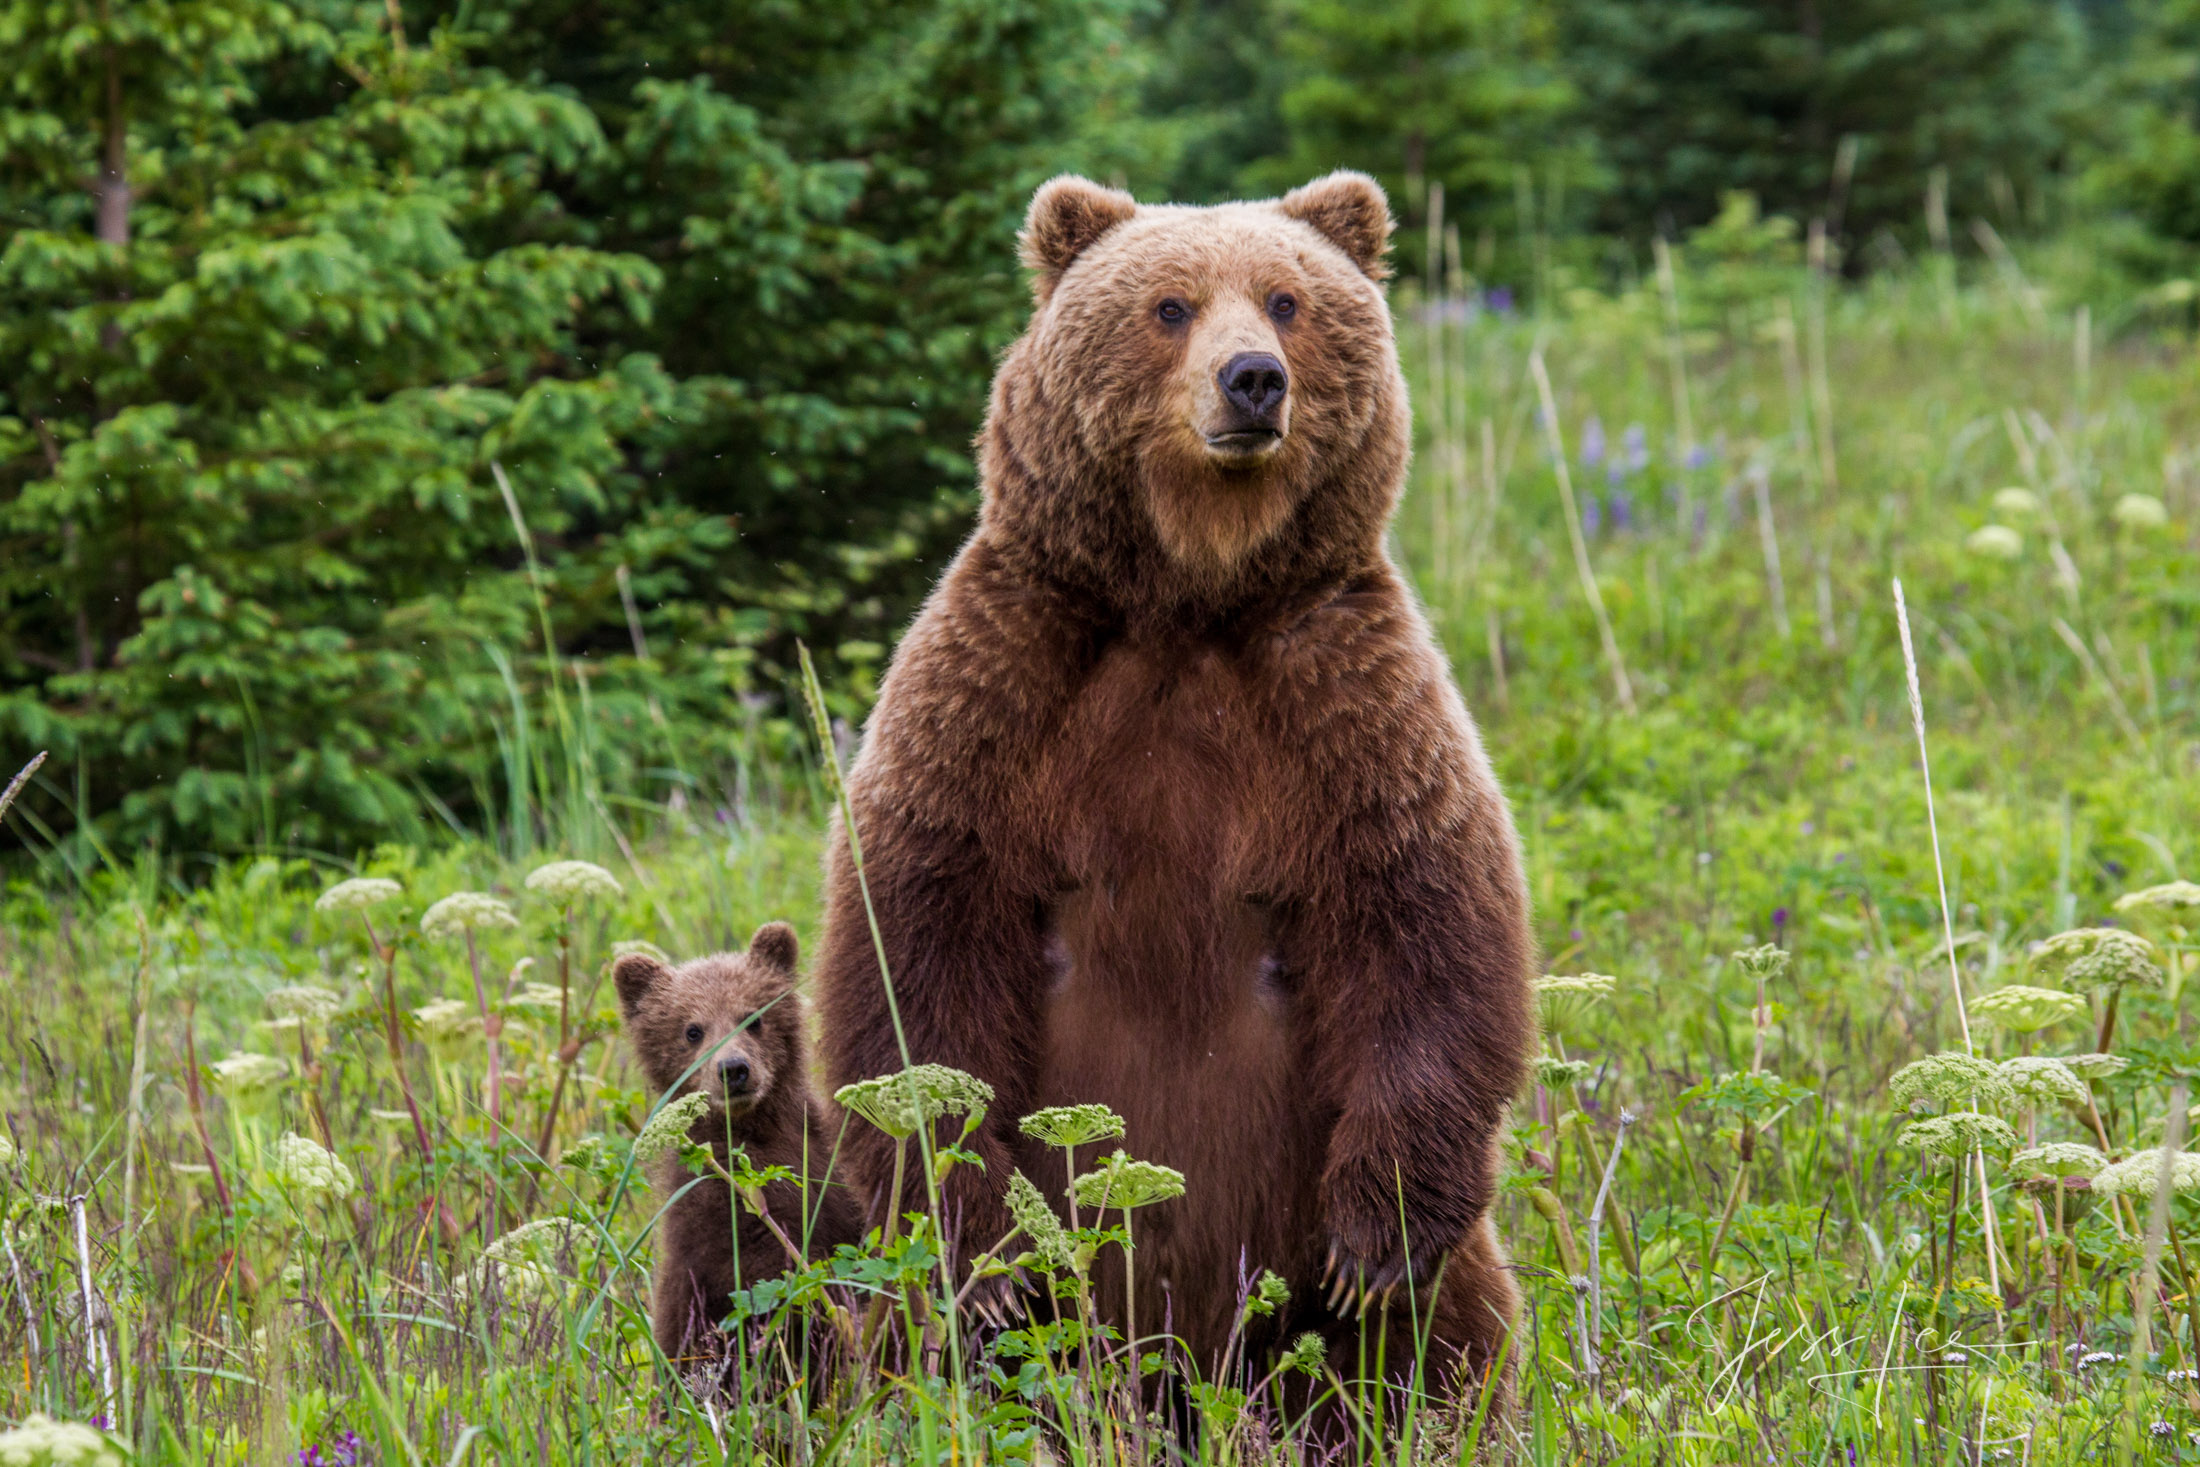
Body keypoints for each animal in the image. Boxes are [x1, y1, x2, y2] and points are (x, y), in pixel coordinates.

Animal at [620, 928, 866, 1363]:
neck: (753, 1128)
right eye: (692, 1029)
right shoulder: (713, 1210)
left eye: (753, 1018)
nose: (733, 1069)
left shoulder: (822, 1164)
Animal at [814, 172, 1531, 1398]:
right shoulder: (1005, 679)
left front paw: (1374, 1243)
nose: (1253, 379)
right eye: (1168, 305)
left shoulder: (1343, 693)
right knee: (922, 1348)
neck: (1190, 597)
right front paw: (989, 1263)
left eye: (1287, 299)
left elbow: (1426, 917)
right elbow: (916, 947)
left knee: (1446, 1331)